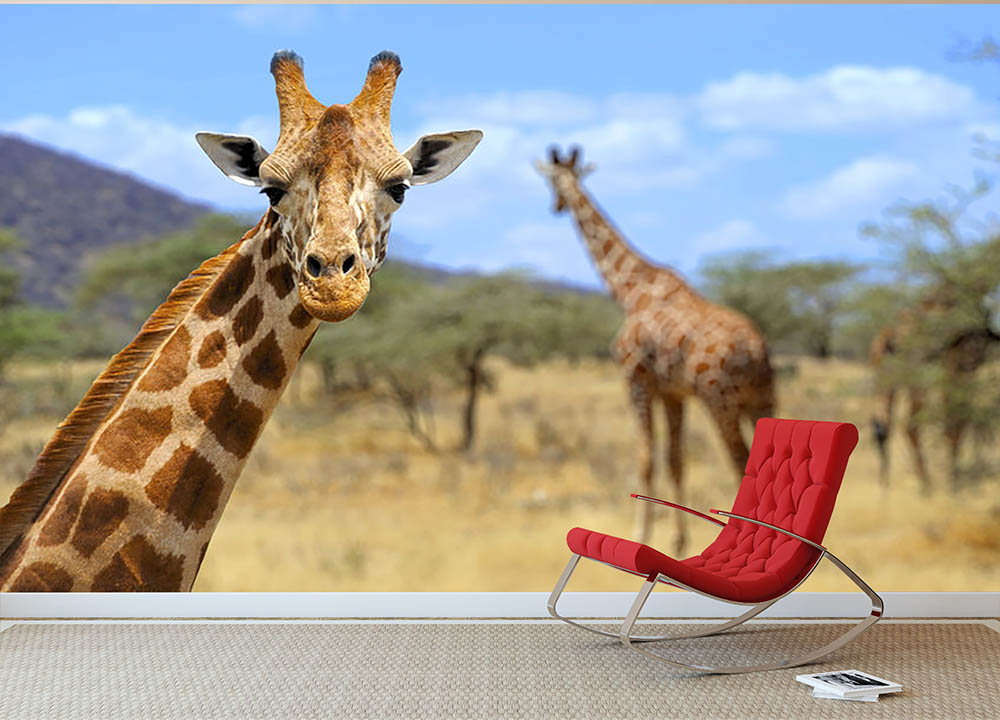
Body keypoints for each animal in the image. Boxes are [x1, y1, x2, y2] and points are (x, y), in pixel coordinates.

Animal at [535, 147, 774, 555]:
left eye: (552, 180)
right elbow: (675, 460)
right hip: (762, 400)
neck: (631, 291)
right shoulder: (672, 393)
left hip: (720, 401)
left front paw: (639, 535)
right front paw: (678, 541)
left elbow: (646, 460)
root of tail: (757, 351)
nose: (555, 206)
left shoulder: (636, 380)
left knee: (741, 464)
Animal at [870, 294, 1000, 493]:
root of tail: (891, 333)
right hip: (919, 378)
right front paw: (954, 482)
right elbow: (955, 423)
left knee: (883, 427)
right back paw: (927, 485)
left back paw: (886, 486)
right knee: (911, 425)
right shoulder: (957, 371)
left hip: (889, 378)